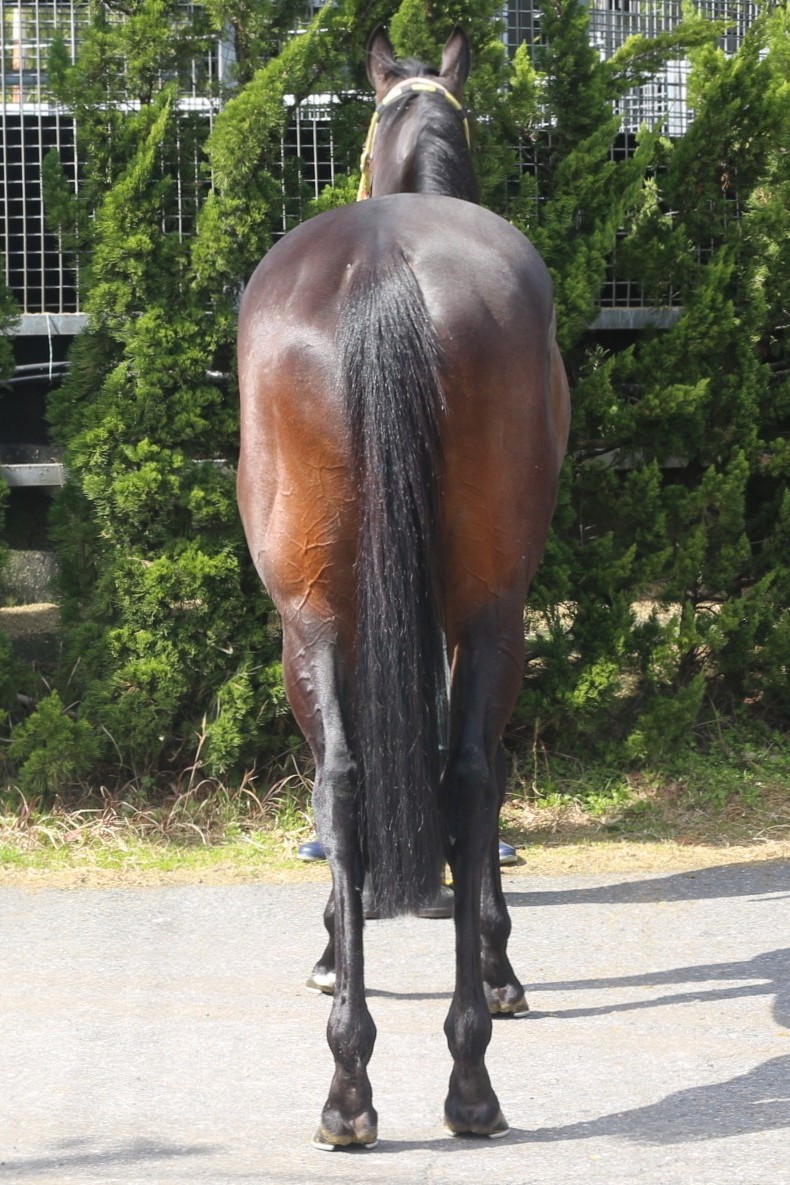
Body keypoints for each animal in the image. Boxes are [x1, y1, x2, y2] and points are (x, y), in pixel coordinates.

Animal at [237, 26, 570, 1149]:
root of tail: (385, 272)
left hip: (321, 619)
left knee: (358, 779)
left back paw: (378, 1082)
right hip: (471, 609)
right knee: (452, 775)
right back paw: (451, 1075)